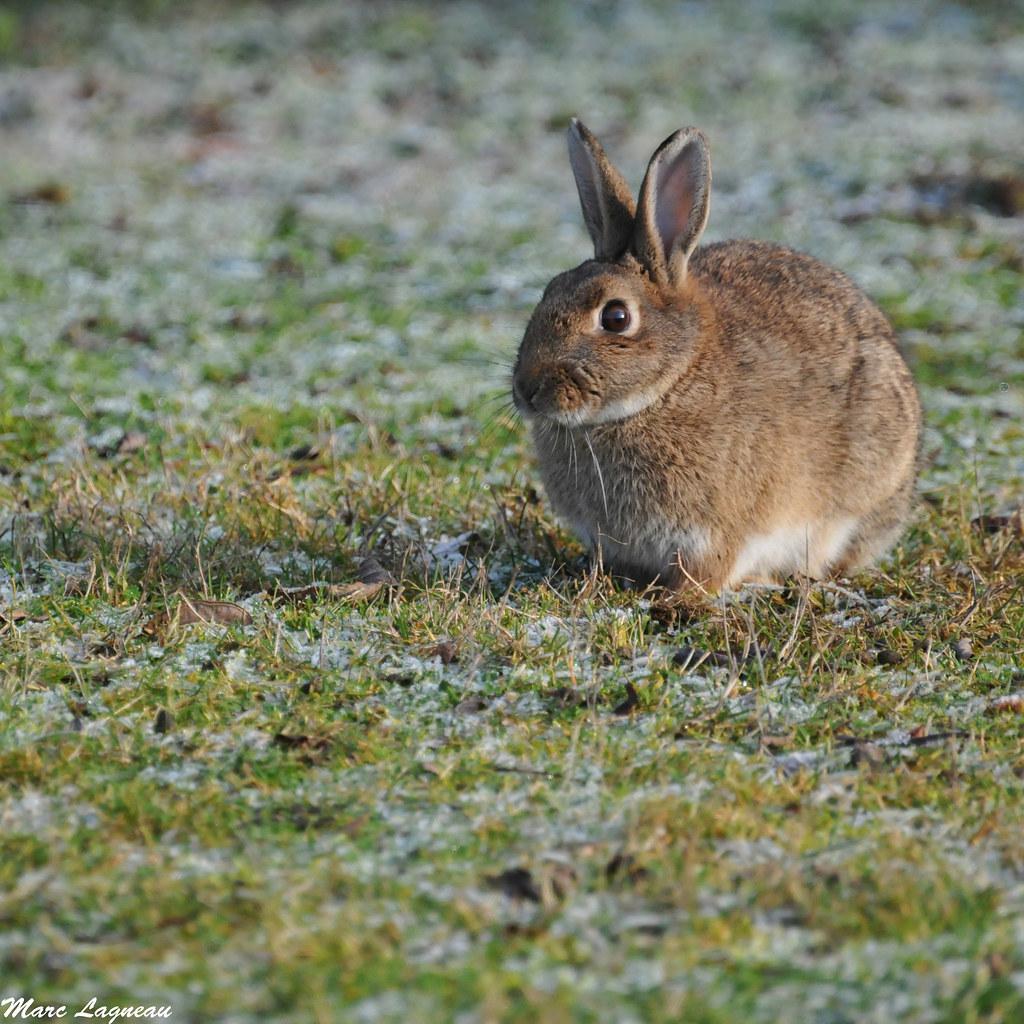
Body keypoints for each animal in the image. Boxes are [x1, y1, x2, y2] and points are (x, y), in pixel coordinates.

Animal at [512, 120, 921, 598]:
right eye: (548, 292)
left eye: (615, 317)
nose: (527, 390)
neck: (666, 386)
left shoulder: (713, 532)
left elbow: (709, 568)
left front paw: (677, 599)